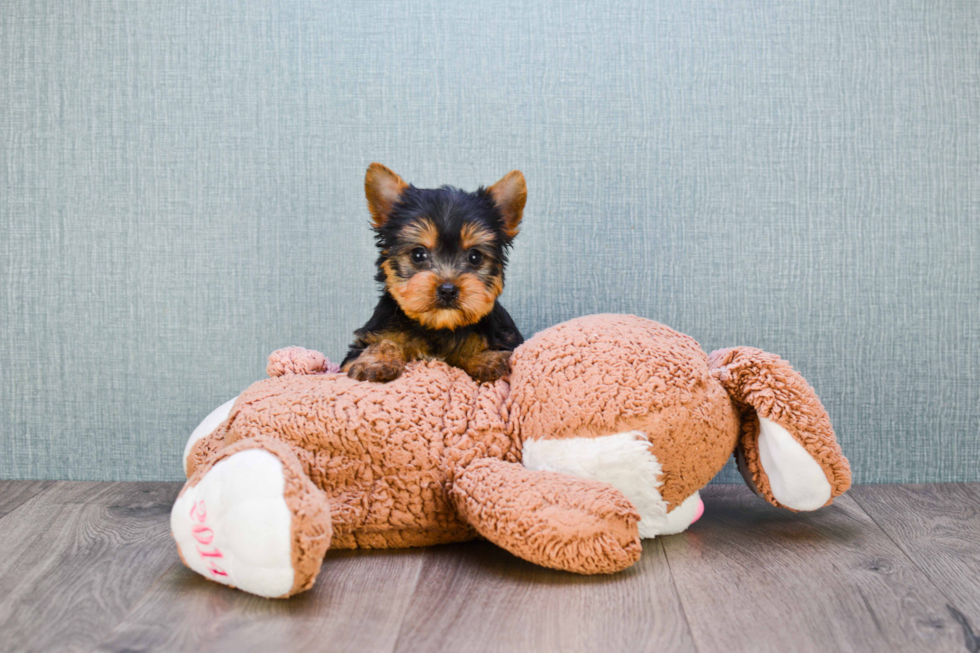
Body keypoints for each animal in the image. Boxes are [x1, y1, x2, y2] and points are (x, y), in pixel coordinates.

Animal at [344, 163, 528, 384]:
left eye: (475, 257)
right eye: (418, 254)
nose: (448, 290)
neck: (438, 328)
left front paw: (488, 359)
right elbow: (385, 341)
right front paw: (377, 361)